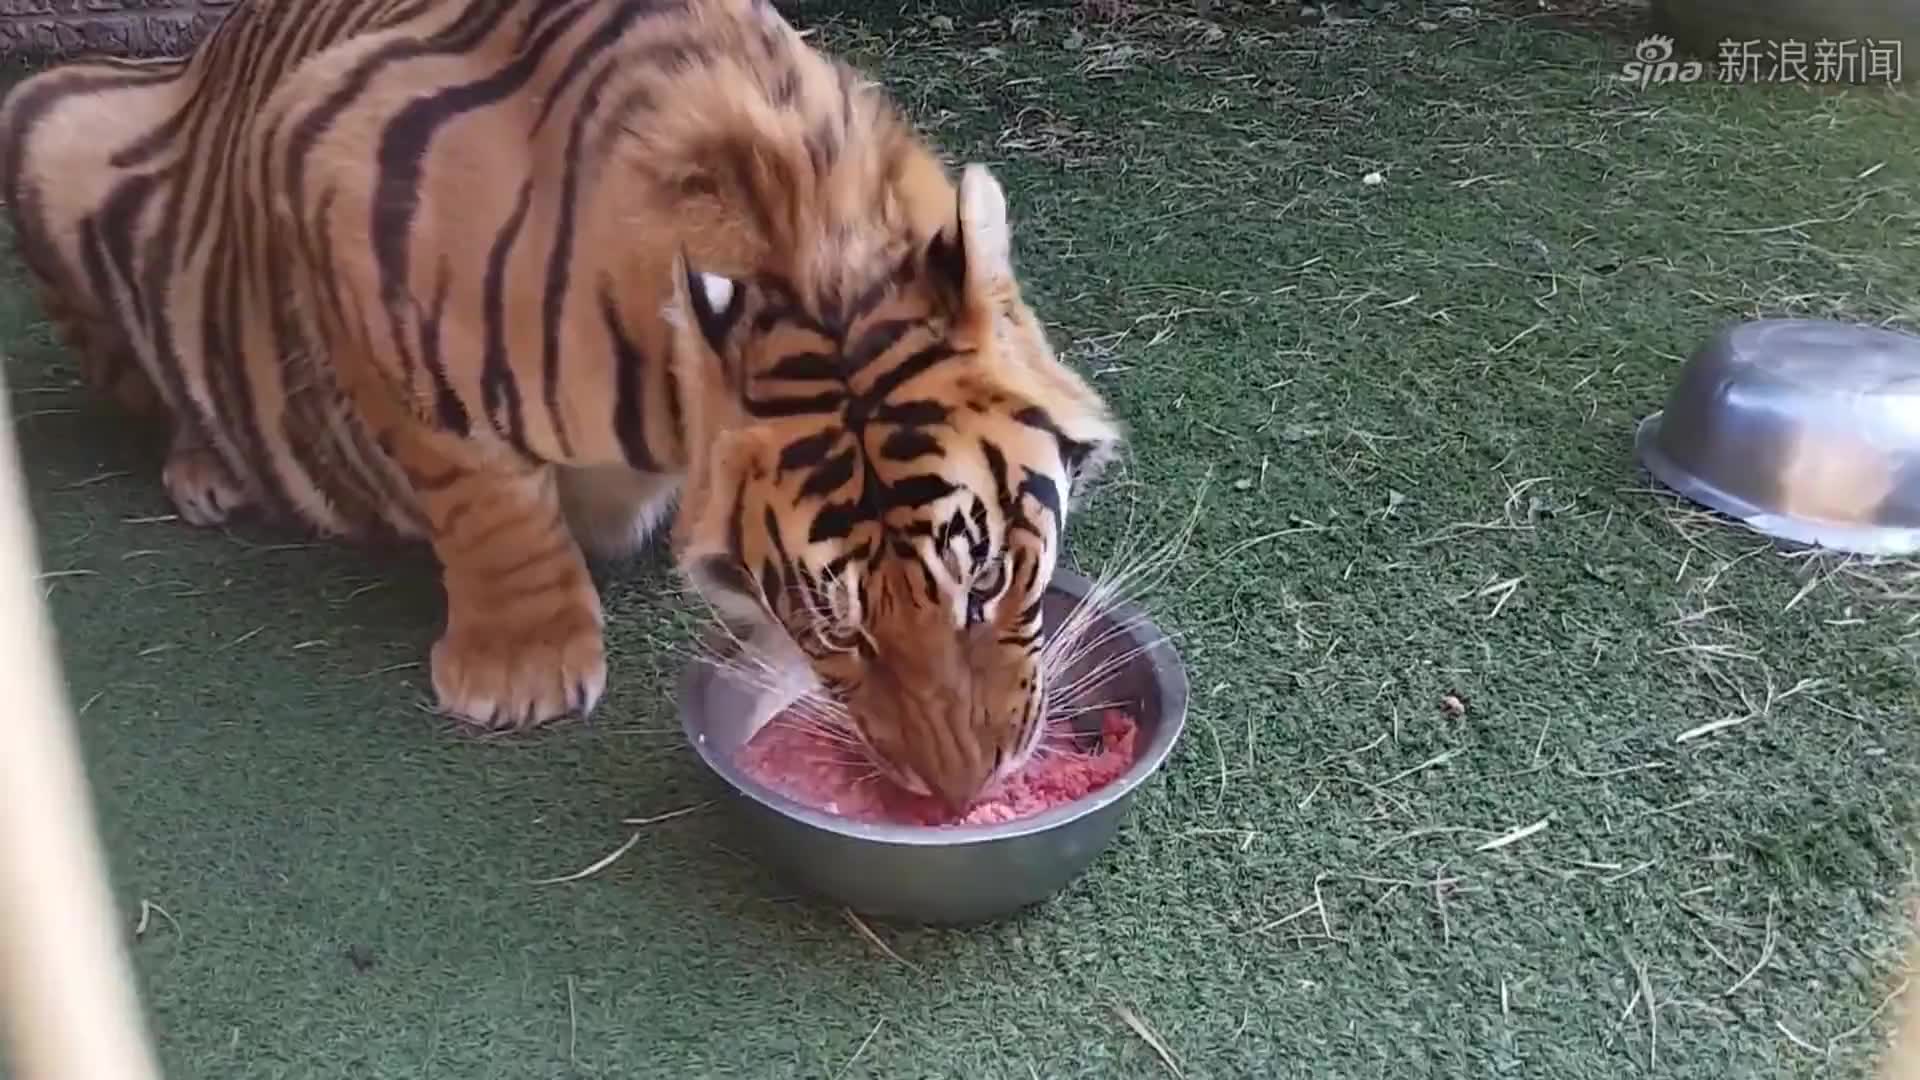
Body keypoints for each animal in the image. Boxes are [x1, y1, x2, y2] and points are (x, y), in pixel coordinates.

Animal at [0, 0, 1122, 814]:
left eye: (985, 581)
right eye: (834, 631)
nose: (959, 793)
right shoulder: (332, 184)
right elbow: (479, 484)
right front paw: (523, 666)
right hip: (46, 120)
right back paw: (207, 467)